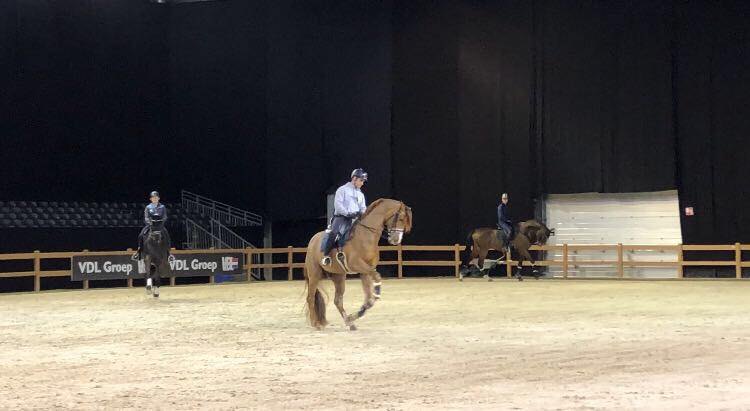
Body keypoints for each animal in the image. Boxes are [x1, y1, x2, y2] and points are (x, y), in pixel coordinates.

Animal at [302, 200, 414, 332]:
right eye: (401, 218)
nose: (396, 240)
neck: (365, 235)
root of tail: (312, 241)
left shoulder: (365, 271)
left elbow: (369, 299)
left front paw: (355, 315)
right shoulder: (358, 265)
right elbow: (377, 278)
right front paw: (376, 293)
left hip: (339, 276)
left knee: (337, 301)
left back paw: (350, 323)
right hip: (314, 275)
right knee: (310, 298)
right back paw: (316, 324)